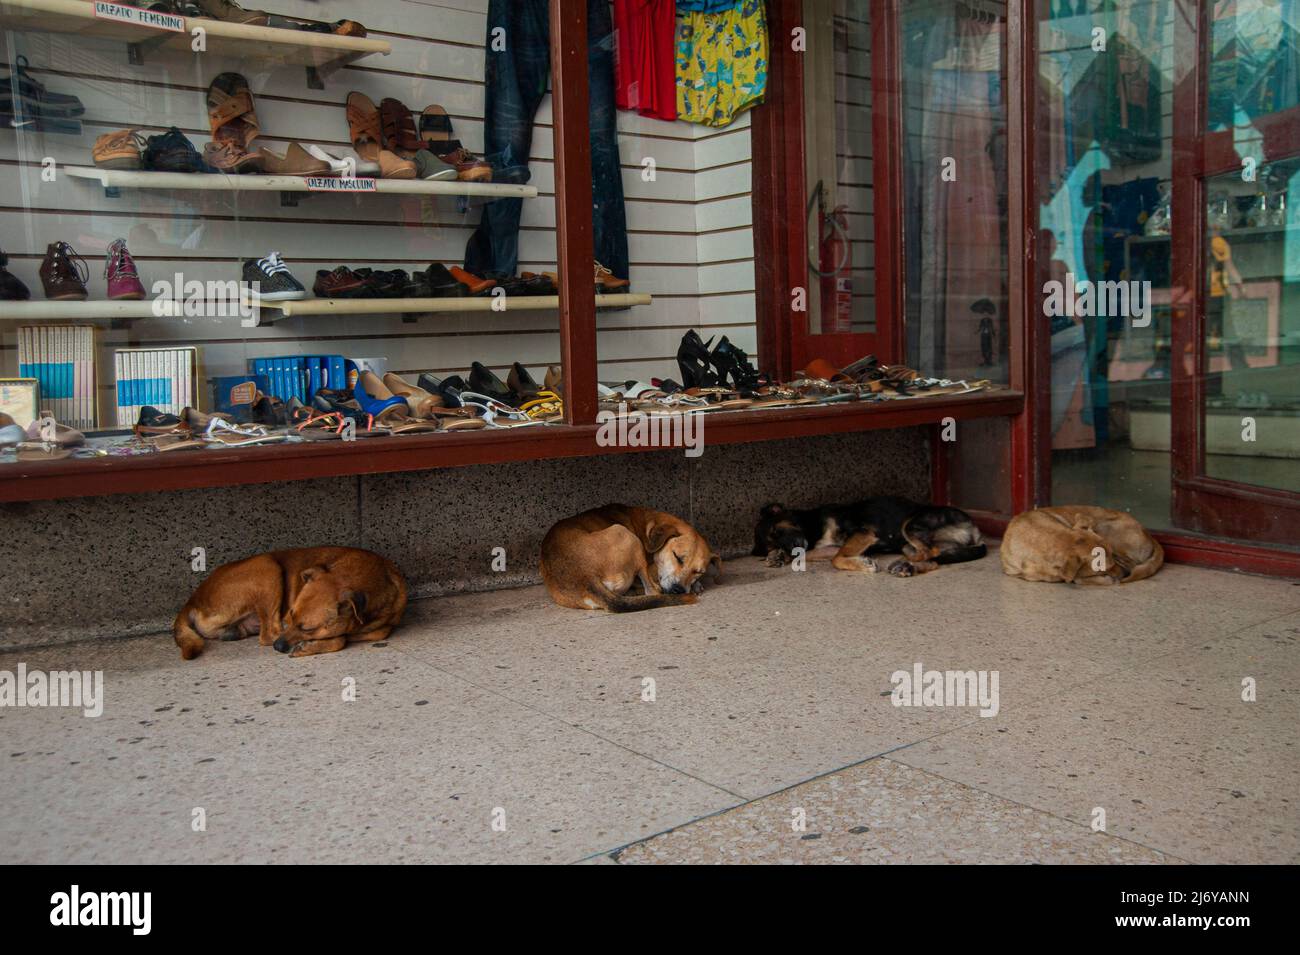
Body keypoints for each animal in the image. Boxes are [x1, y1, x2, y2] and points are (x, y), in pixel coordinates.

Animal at [172, 548, 405, 660]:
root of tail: (192, 600)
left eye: (308, 628)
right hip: (267, 566)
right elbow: (341, 639)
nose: (279, 647)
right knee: (268, 634)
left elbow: (378, 632)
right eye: (290, 616)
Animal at [538, 509, 722, 613]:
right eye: (677, 556)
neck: (648, 521)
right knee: (653, 590)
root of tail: (585, 577)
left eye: (698, 571)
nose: (678, 590)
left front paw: (696, 583)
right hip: (626, 534)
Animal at [754, 496, 982, 579]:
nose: (791, 548)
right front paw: (778, 557)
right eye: (771, 543)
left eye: (776, 530)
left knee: (929, 552)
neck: (812, 526)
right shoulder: (825, 547)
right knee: (933, 559)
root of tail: (974, 529)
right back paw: (905, 566)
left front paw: (863, 564)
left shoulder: (862, 533)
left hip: (911, 524)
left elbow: (837, 558)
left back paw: (903, 562)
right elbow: (825, 555)